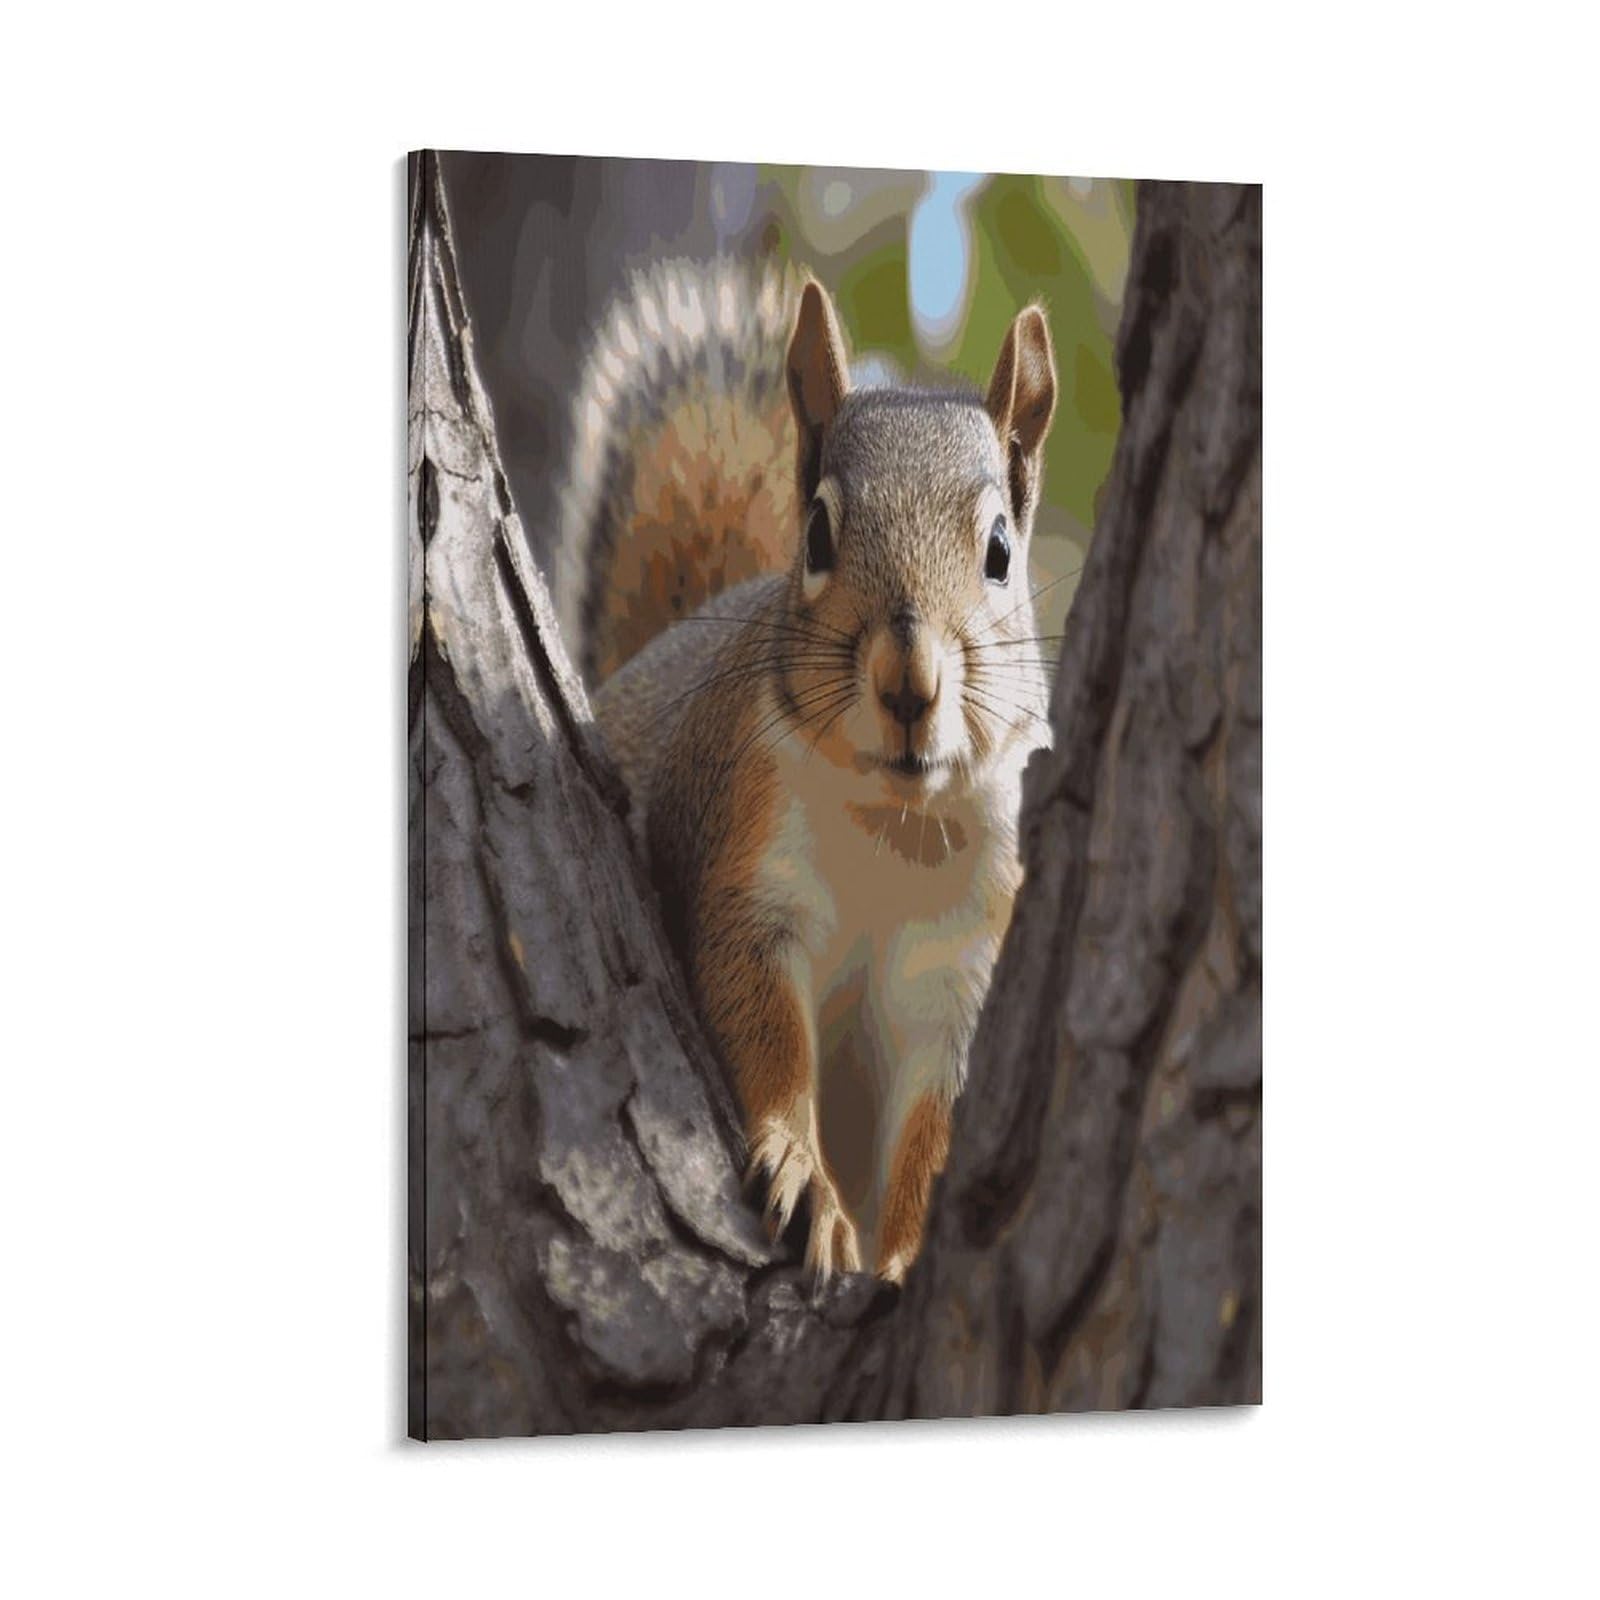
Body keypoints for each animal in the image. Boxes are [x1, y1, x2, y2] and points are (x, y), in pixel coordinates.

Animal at [553, 258, 1057, 1282]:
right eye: (818, 534)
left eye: (999, 552)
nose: (909, 681)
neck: (895, 824)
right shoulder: (749, 867)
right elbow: (763, 1026)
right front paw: (803, 1176)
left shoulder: (966, 962)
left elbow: (936, 1127)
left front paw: (902, 1259)